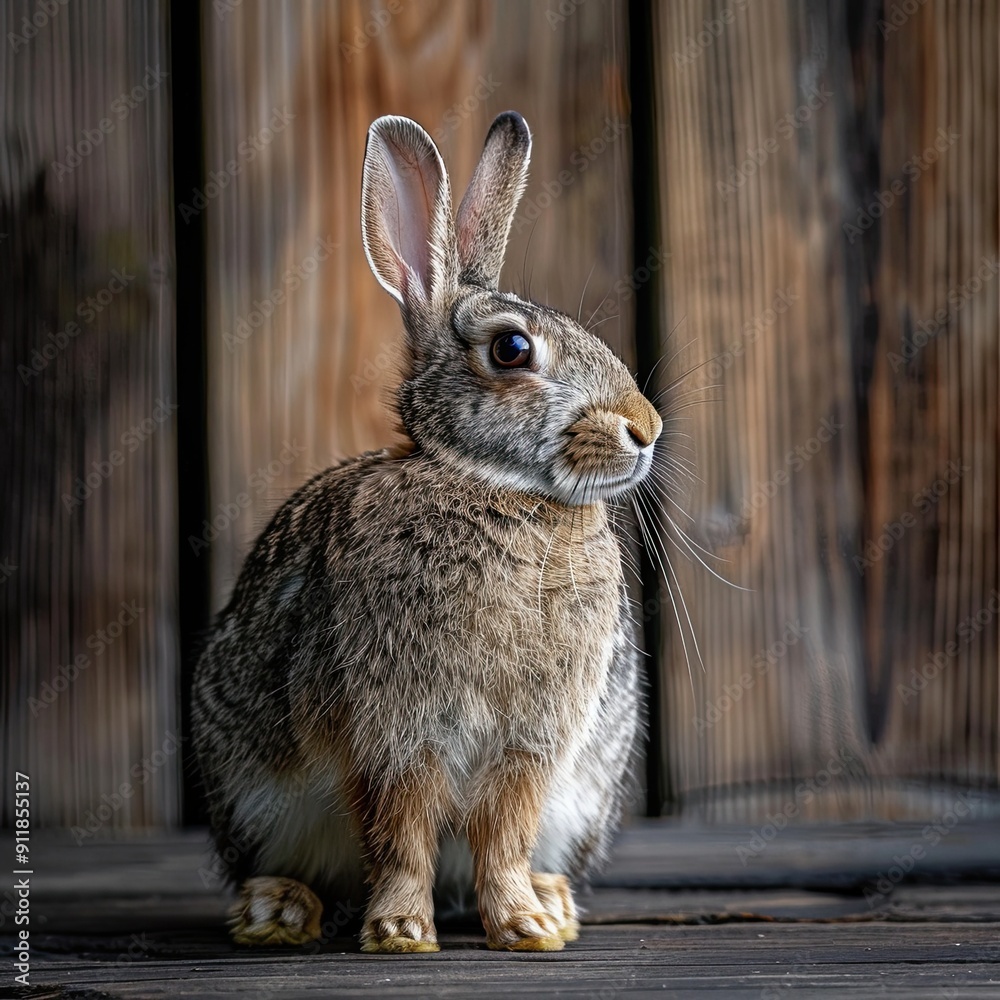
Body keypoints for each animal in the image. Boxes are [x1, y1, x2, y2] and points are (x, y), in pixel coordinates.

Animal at [191, 109, 663, 954]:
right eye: (511, 349)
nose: (647, 428)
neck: (494, 487)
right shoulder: (393, 734)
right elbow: (400, 831)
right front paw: (401, 931)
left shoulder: (530, 744)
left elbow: (503, 836)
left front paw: (526, 925)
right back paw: (278, 910)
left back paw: (555, 898)